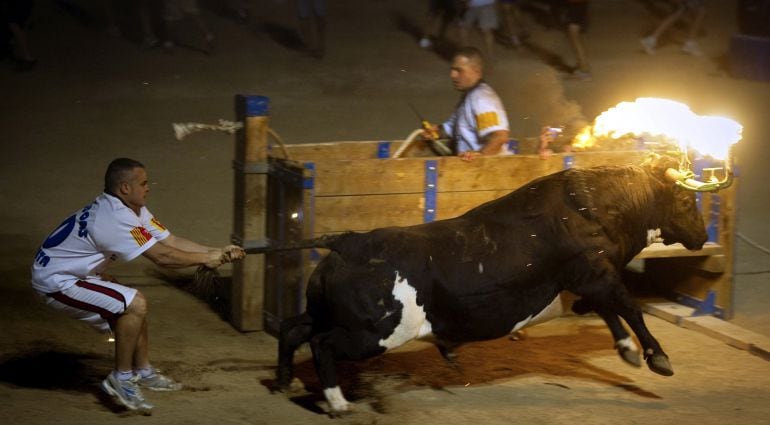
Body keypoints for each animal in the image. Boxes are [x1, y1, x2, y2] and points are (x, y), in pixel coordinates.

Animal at [274, 153, 708, 414]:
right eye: (687, 202)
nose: (702, 237)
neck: (594, 206)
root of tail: (347, 242)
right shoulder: (596, 274)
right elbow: (629, 307)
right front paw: (656, 358)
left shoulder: (588, 282)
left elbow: (610, 311)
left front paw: (628, 351)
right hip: (373, 334)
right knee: (321, 343)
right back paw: (337, 402)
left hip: (328, 314)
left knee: (293, 328)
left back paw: (284, 382)